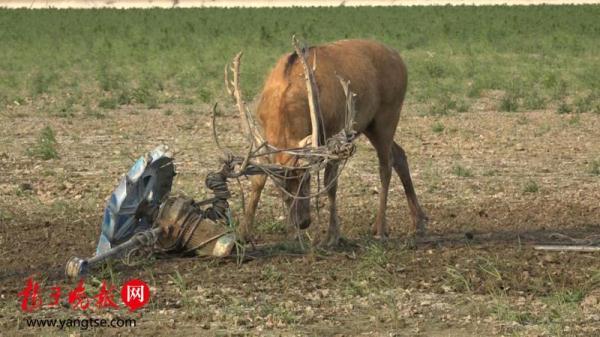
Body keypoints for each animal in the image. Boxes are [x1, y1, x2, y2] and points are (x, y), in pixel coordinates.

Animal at [225, 38, 426, 245]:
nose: (302, 222)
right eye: (280, 187)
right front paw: (243, 233)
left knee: (386, 165)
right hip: (369, 125)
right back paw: (418, 222)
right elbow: (258, 179)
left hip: (388, 113)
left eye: (306, 177)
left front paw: (332, 235)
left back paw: (380, 228)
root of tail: (399, 59)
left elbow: (330, 183)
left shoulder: (335, 130)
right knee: (399, 154)